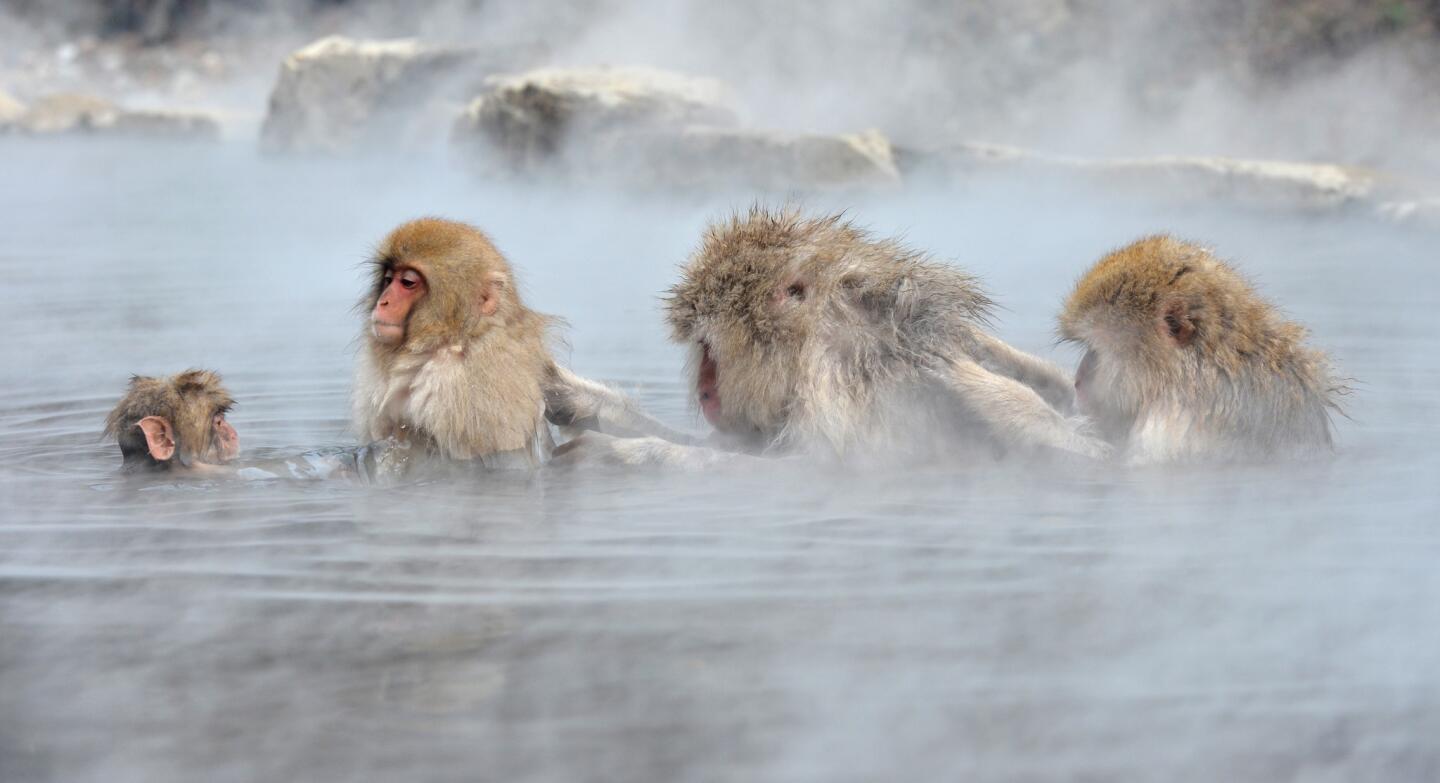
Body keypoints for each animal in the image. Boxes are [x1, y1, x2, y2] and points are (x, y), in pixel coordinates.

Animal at [550, 204, 1100, 469]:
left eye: (709, 347)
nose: (706, 392)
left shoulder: (837, 379)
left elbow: (814, 467)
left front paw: (625, 454)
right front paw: (583, 402)